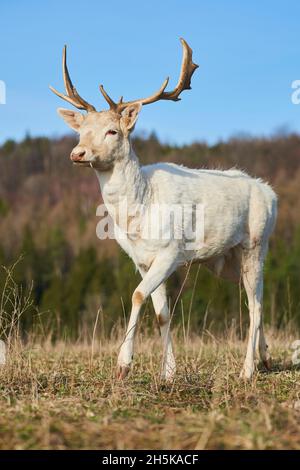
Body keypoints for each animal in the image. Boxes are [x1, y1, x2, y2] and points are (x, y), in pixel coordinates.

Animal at [49, 38, 276, 380]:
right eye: (81, 130)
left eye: (112, 131)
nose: (78, 153)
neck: (140, 212)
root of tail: (271, 193)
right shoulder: (142, 260)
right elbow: (162, 313)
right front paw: (168, 372)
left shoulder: (171, 251)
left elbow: (137, 295)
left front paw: (123, 365)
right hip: (226, 260)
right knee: (256, 296)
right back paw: (265, 358)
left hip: (256, 243)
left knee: (256, 304)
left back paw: (247, 370)